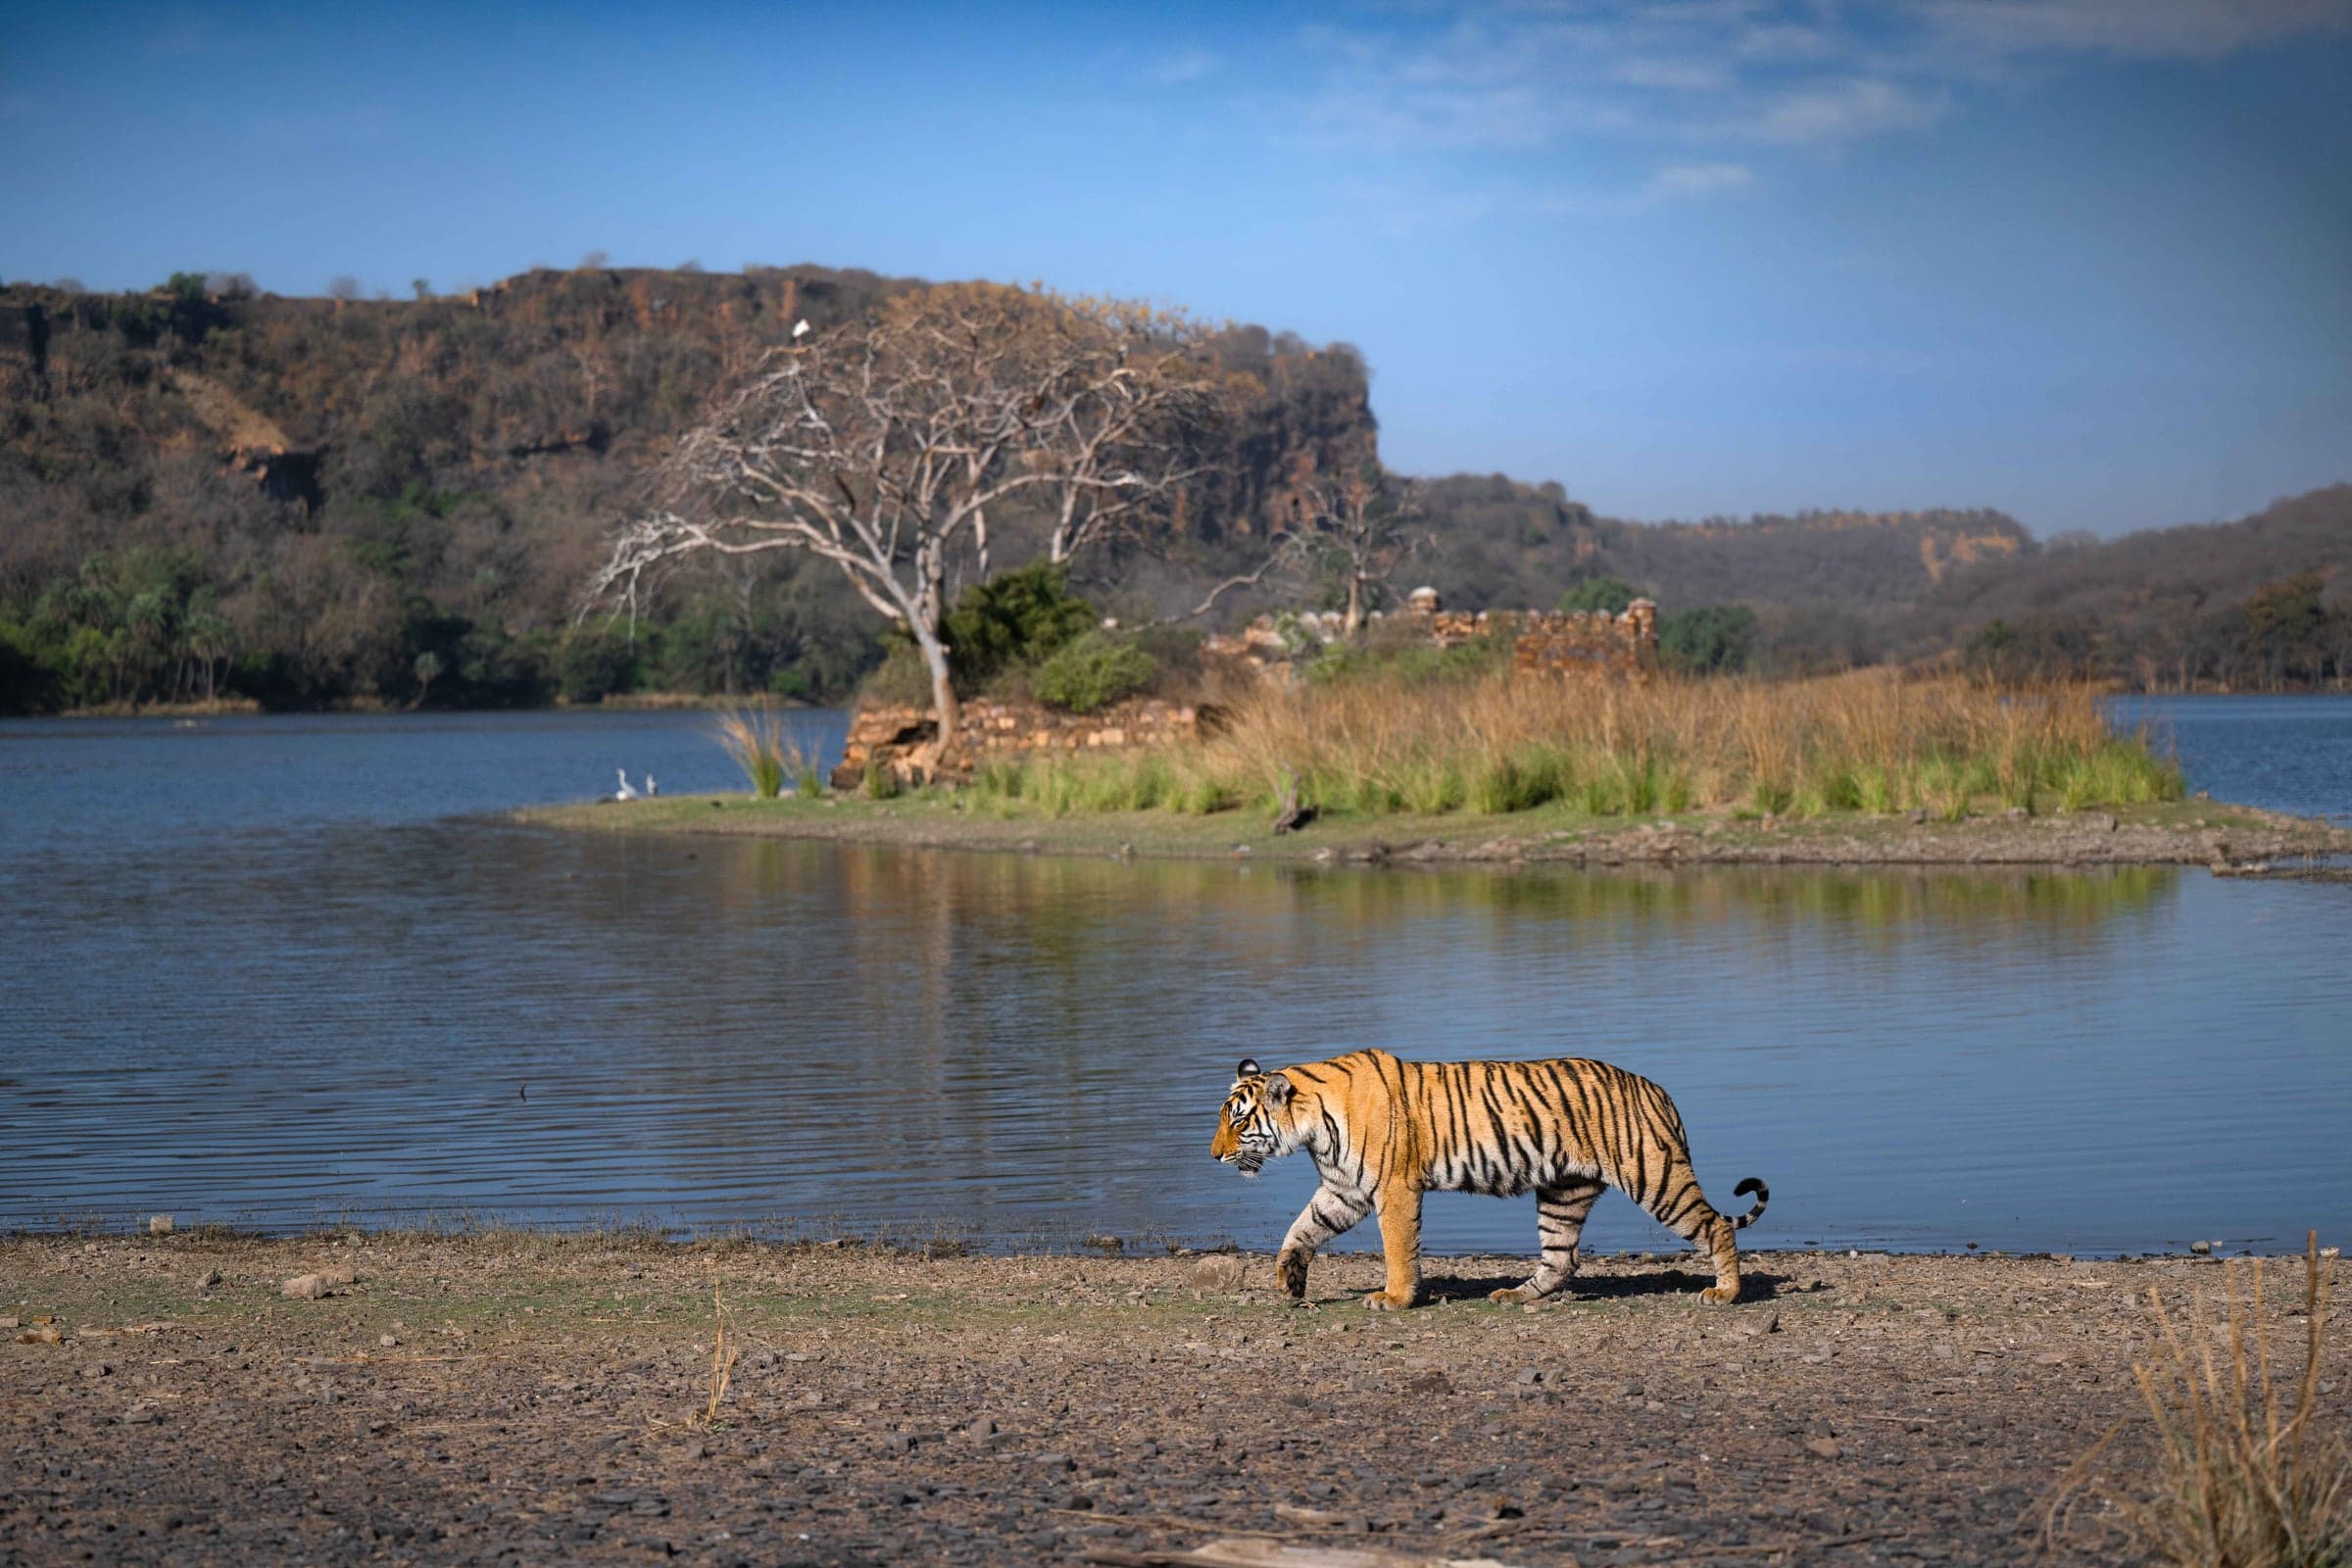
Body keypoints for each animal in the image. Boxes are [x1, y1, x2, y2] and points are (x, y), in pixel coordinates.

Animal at [1209, 1048, 1767, 1310]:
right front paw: (1289, 1279)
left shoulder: (1393, 1188)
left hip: (1655, 1176)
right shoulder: (1343, 1189)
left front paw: (1394, 1298)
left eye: (1237, 1120)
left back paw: (1725, 1293)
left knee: (1717, 1225)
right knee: (1561, 1260)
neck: (1312, 1126)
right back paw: (1515, 1296)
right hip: (1563, 1192)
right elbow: (1301, 1228)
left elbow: (1397, 1248)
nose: (1213, 1156)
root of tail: (1656, 1089)